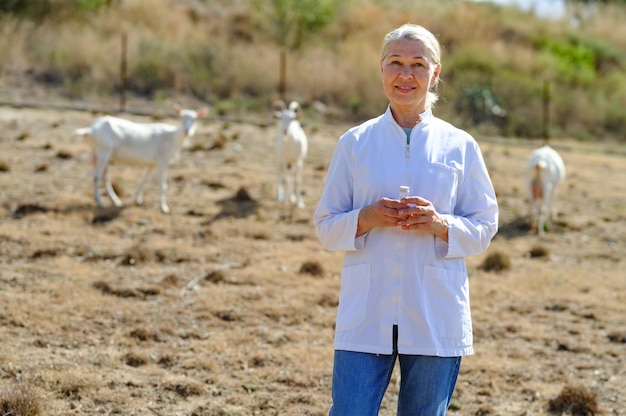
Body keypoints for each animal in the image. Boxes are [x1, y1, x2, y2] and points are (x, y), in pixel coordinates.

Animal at [74, 104, 207, 214]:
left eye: (195, 119)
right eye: (181, 117)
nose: (187, 131)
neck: (172, 138)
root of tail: (90, 130)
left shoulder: (152, 163)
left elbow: (145, 179)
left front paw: (137, 199)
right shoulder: (163, 160)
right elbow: (163, 184)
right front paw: (163, 207)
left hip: (98, 153)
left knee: (104, 175)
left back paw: (115, 200)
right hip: (104, 151)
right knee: (96, 176)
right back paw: (100, 202)